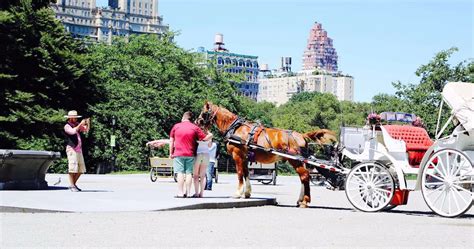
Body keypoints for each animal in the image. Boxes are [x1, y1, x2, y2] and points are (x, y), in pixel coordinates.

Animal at [198, 101, 336, 208]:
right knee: (303, 178)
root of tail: (301, 135)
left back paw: (305, 201)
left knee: (305, 176)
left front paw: (238, 193)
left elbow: (240, 174)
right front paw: (247, 193)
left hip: (295, 160)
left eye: (204, 112)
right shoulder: (245, 158)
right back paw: (300, 200)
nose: (197, 121)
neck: (236, 128)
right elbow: (246, 173)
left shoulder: (237, 155)